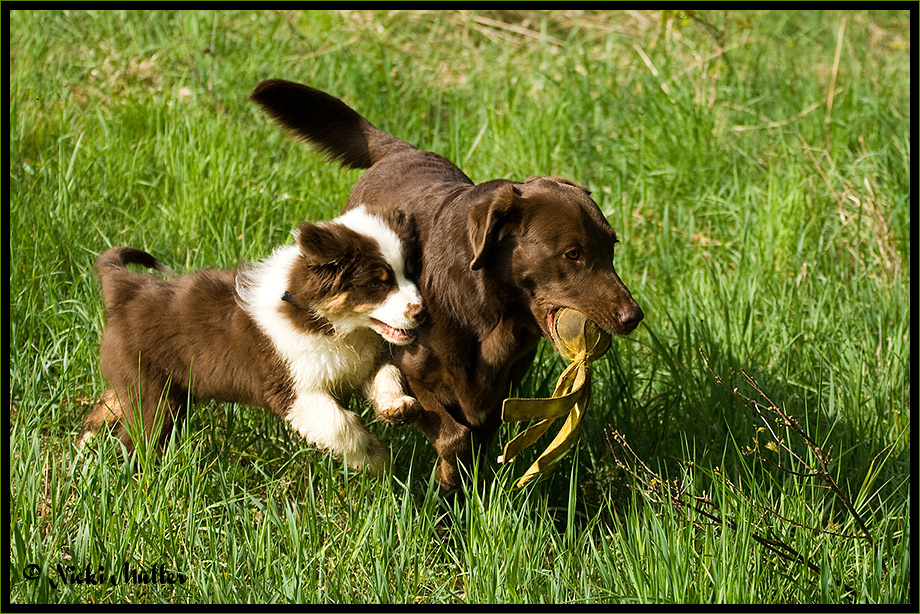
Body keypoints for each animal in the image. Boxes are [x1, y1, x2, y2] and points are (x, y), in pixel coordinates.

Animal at [79, 207, 424, 476]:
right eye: (375, 284)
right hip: (154, 392)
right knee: (136, 434)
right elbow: (340, 424)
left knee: (109, 404)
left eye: (410, 274)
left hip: (150, 383)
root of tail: (128, 289)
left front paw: (397, 407)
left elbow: (386, 373)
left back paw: (86, 447)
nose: (421, 310)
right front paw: (377, 460)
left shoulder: (359, 361)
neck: (327, 324)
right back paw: (139, 476)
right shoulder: (292, 390)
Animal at [248, 83, 644, 496]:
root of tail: (400, 149)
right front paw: (444, 483)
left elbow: (475, 440)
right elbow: (453, 436)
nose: (633, 316)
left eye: (611, 246)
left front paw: (457, 491)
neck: (487, 312)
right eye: (573, 254)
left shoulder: (497, 394)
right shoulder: (413, 372)